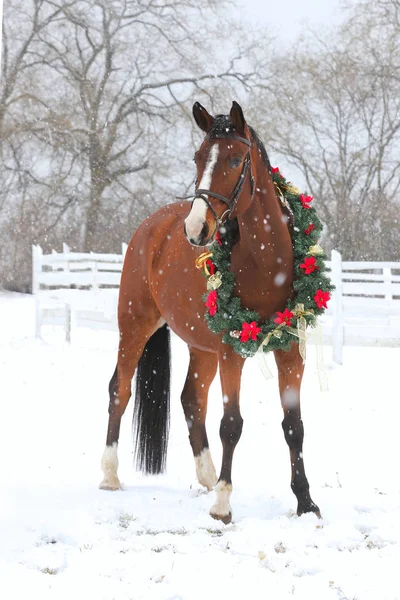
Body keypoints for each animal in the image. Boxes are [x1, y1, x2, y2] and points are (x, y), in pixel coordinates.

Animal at [100, 101, 322, 524]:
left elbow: (294, 426)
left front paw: (306, 502)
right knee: (120, 390)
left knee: (191, 400)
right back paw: (110, 476)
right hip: (134, 325)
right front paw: (222, 504)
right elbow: (231, 424)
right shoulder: (232, 351)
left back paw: (206, 475)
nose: (196, 228)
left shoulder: (290, 351)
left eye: (236, 159)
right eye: (198, 158)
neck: (267, 261)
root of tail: (151, 226)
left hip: (202, 347)